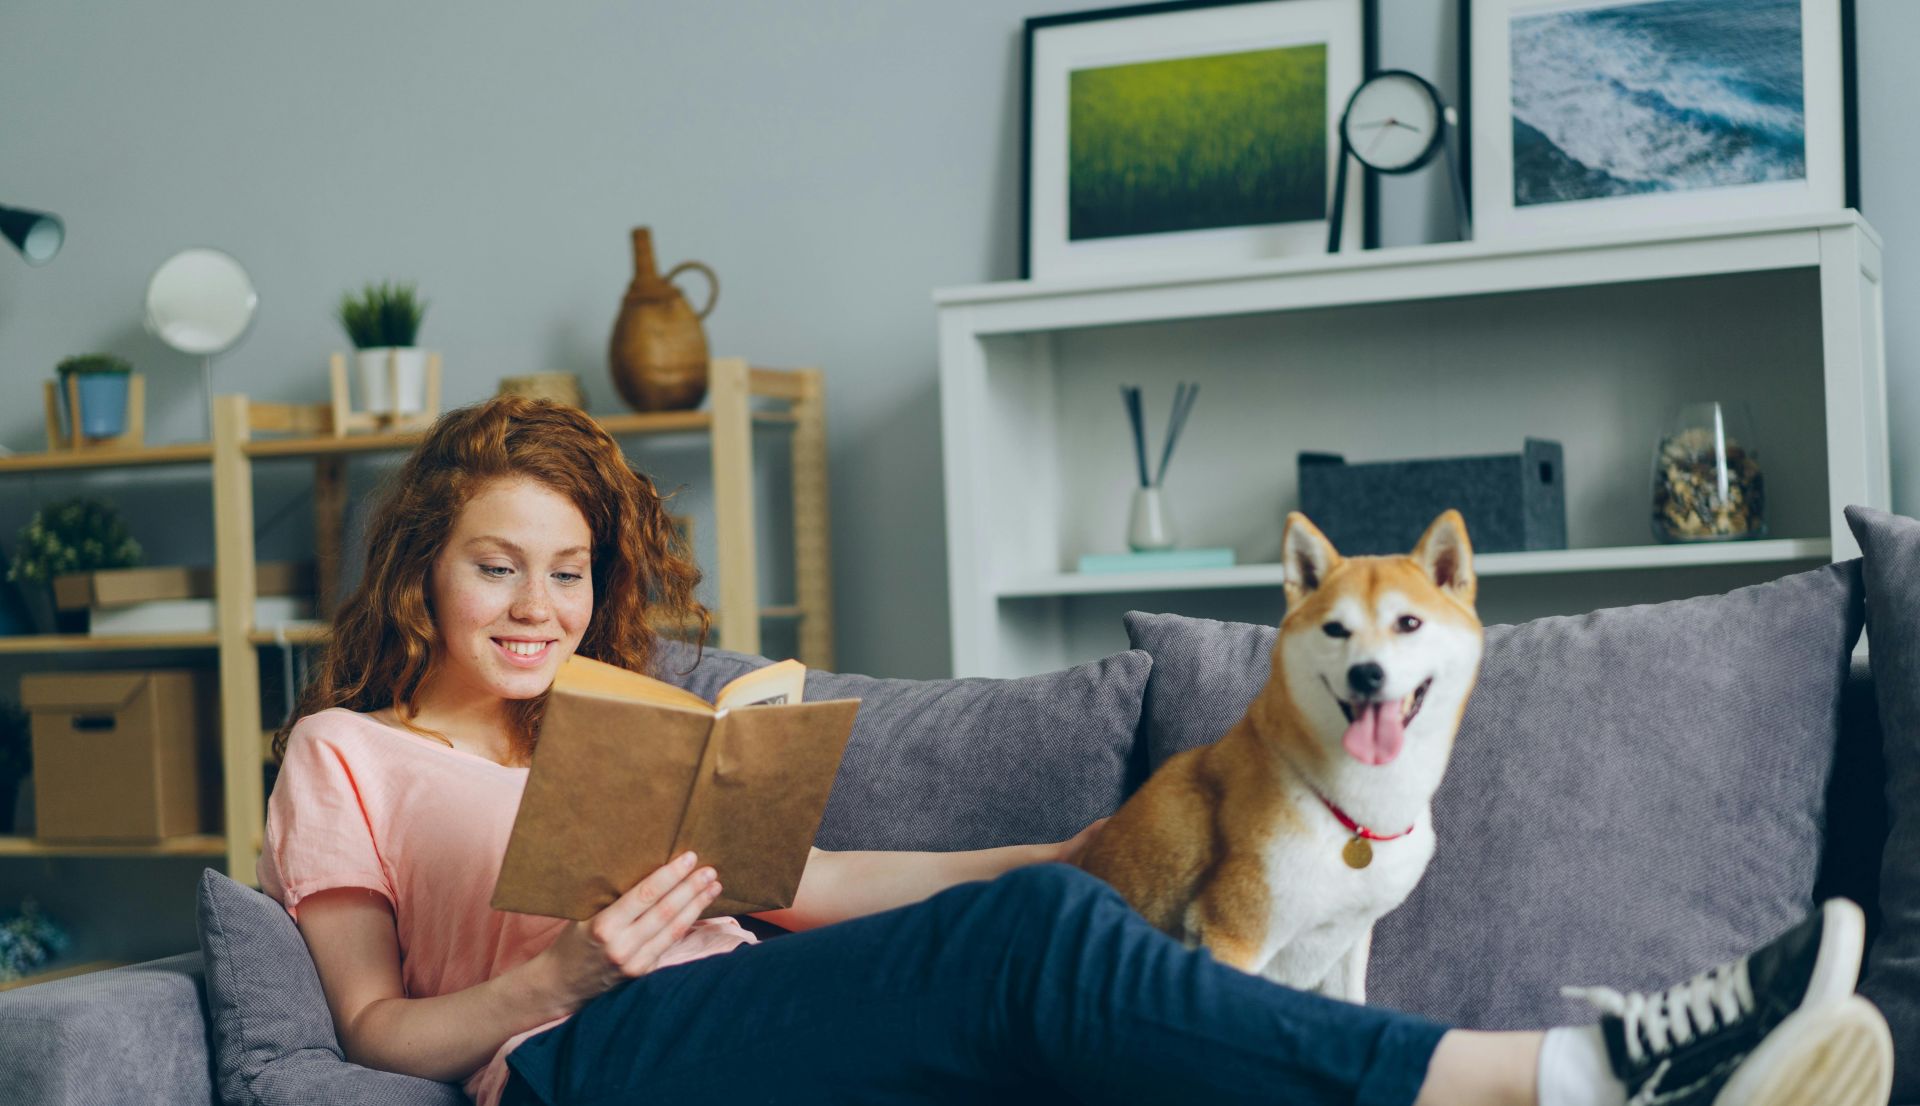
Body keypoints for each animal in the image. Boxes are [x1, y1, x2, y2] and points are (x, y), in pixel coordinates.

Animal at [1082, 510, 1482, 998]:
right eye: (1335, 629)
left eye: (1408, 623)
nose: (1365, 673)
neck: (1357, 813)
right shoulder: (1234, 935)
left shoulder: (1349, 942)